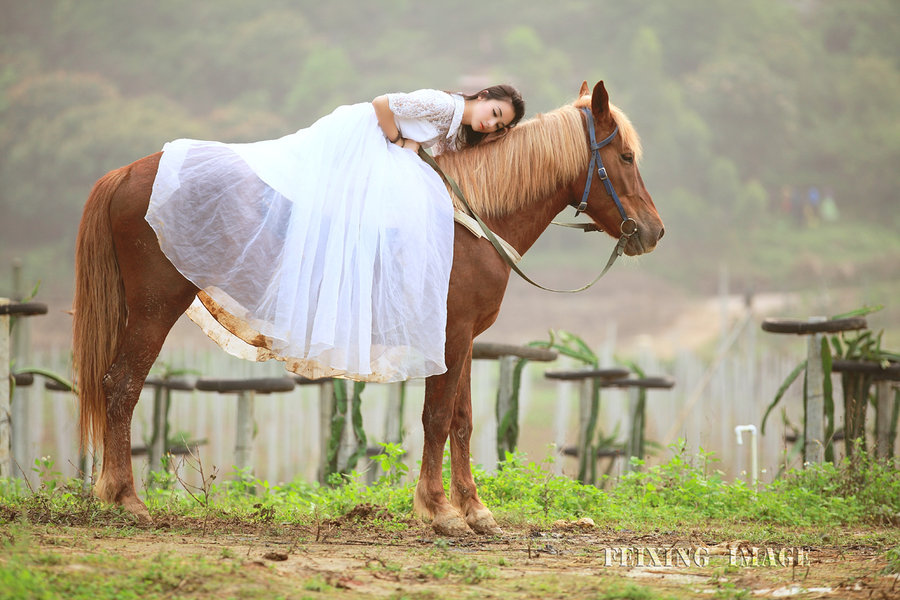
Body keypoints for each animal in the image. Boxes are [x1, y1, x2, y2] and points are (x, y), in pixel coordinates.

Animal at [74, 79, 664, 536]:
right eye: (626, 157)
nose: (653, 232)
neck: (471, 217)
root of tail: (128, 174)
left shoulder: (465, 338)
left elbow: (463, 421)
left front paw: (475, 511)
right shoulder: (448, 337)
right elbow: (435, 418)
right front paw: (439, 512)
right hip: (154, 308)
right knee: (121, 386)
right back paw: (126, 499)